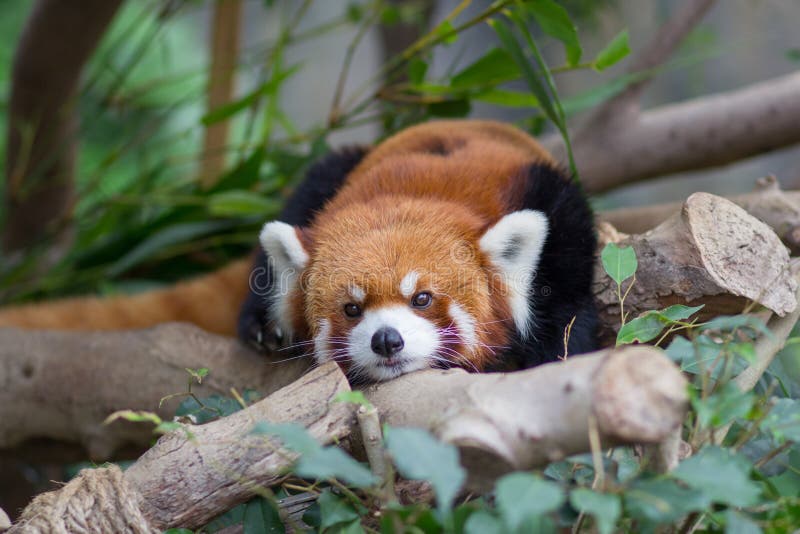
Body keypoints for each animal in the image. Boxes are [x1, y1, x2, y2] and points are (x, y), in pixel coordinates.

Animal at [0, 121, 592, 384]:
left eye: (422, 298)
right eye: (351, 308)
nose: (386, 340)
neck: (422, 191)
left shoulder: (545, 191)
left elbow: (566, 270)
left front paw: (557, 346)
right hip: (332, 172)